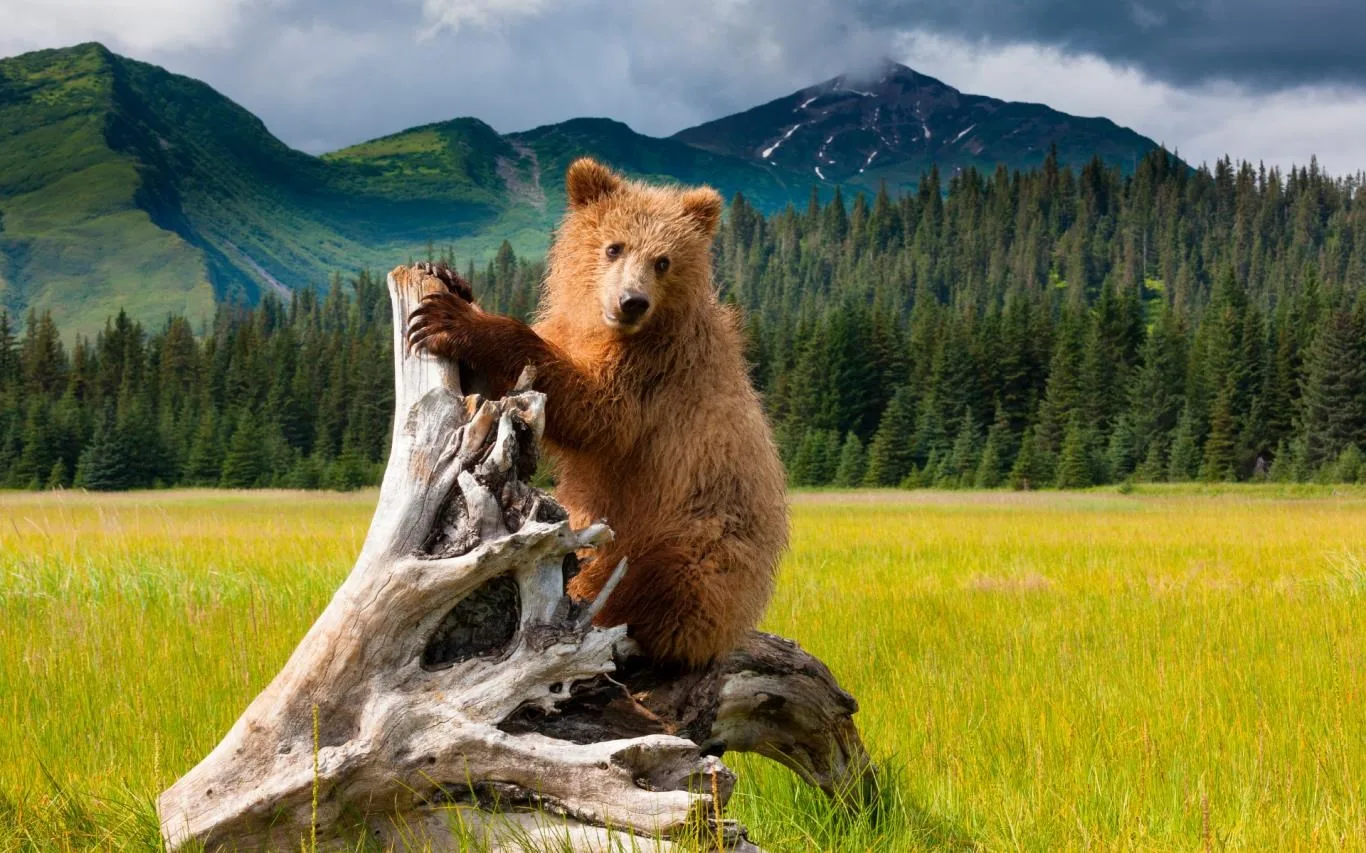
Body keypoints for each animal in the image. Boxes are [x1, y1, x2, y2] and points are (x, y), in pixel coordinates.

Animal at [407, 157, 789, 668]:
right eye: (613, 246)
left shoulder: (653, 369)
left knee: (669, 580)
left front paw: (456, 319)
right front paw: (447, 279)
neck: (604, 328)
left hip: (703, 535)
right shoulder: (573, 332)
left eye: (663, 261)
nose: (632, 302)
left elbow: (597, 413)